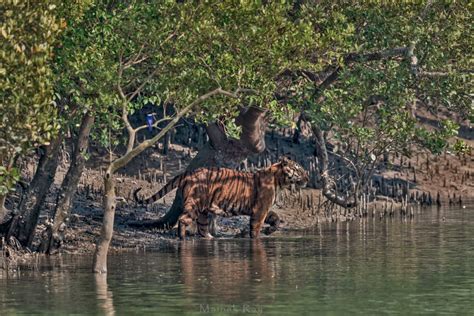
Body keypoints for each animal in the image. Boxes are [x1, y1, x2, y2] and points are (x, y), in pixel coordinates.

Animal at [132, 156, 308, 239]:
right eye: (299, 169)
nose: (308, 177)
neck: (280, 180)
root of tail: (188, 172)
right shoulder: (259, 211)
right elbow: (256, 229)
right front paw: (257, 236)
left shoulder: (264, 209)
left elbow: (276, 218)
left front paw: (270, 230)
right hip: (194, 205)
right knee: (183, 219)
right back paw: (182, 239)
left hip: (203, 211)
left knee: (202, 229)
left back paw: (212, 239)